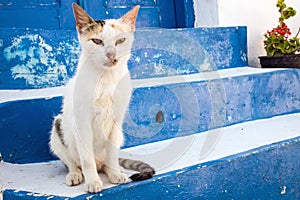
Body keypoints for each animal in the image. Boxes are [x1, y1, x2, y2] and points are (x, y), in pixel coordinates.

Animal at [49, 3, 155, 194]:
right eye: (97, 41)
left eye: (120, 41)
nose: (111, 54)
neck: (106, 80)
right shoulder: (82, 122)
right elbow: (86, 159)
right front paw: (92, 181)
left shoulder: (116, 121)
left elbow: (112, 153)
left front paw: (115, 174)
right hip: (58, 127)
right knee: (72, 162)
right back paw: (75, 174)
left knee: (106, 160)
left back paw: (115, 170)